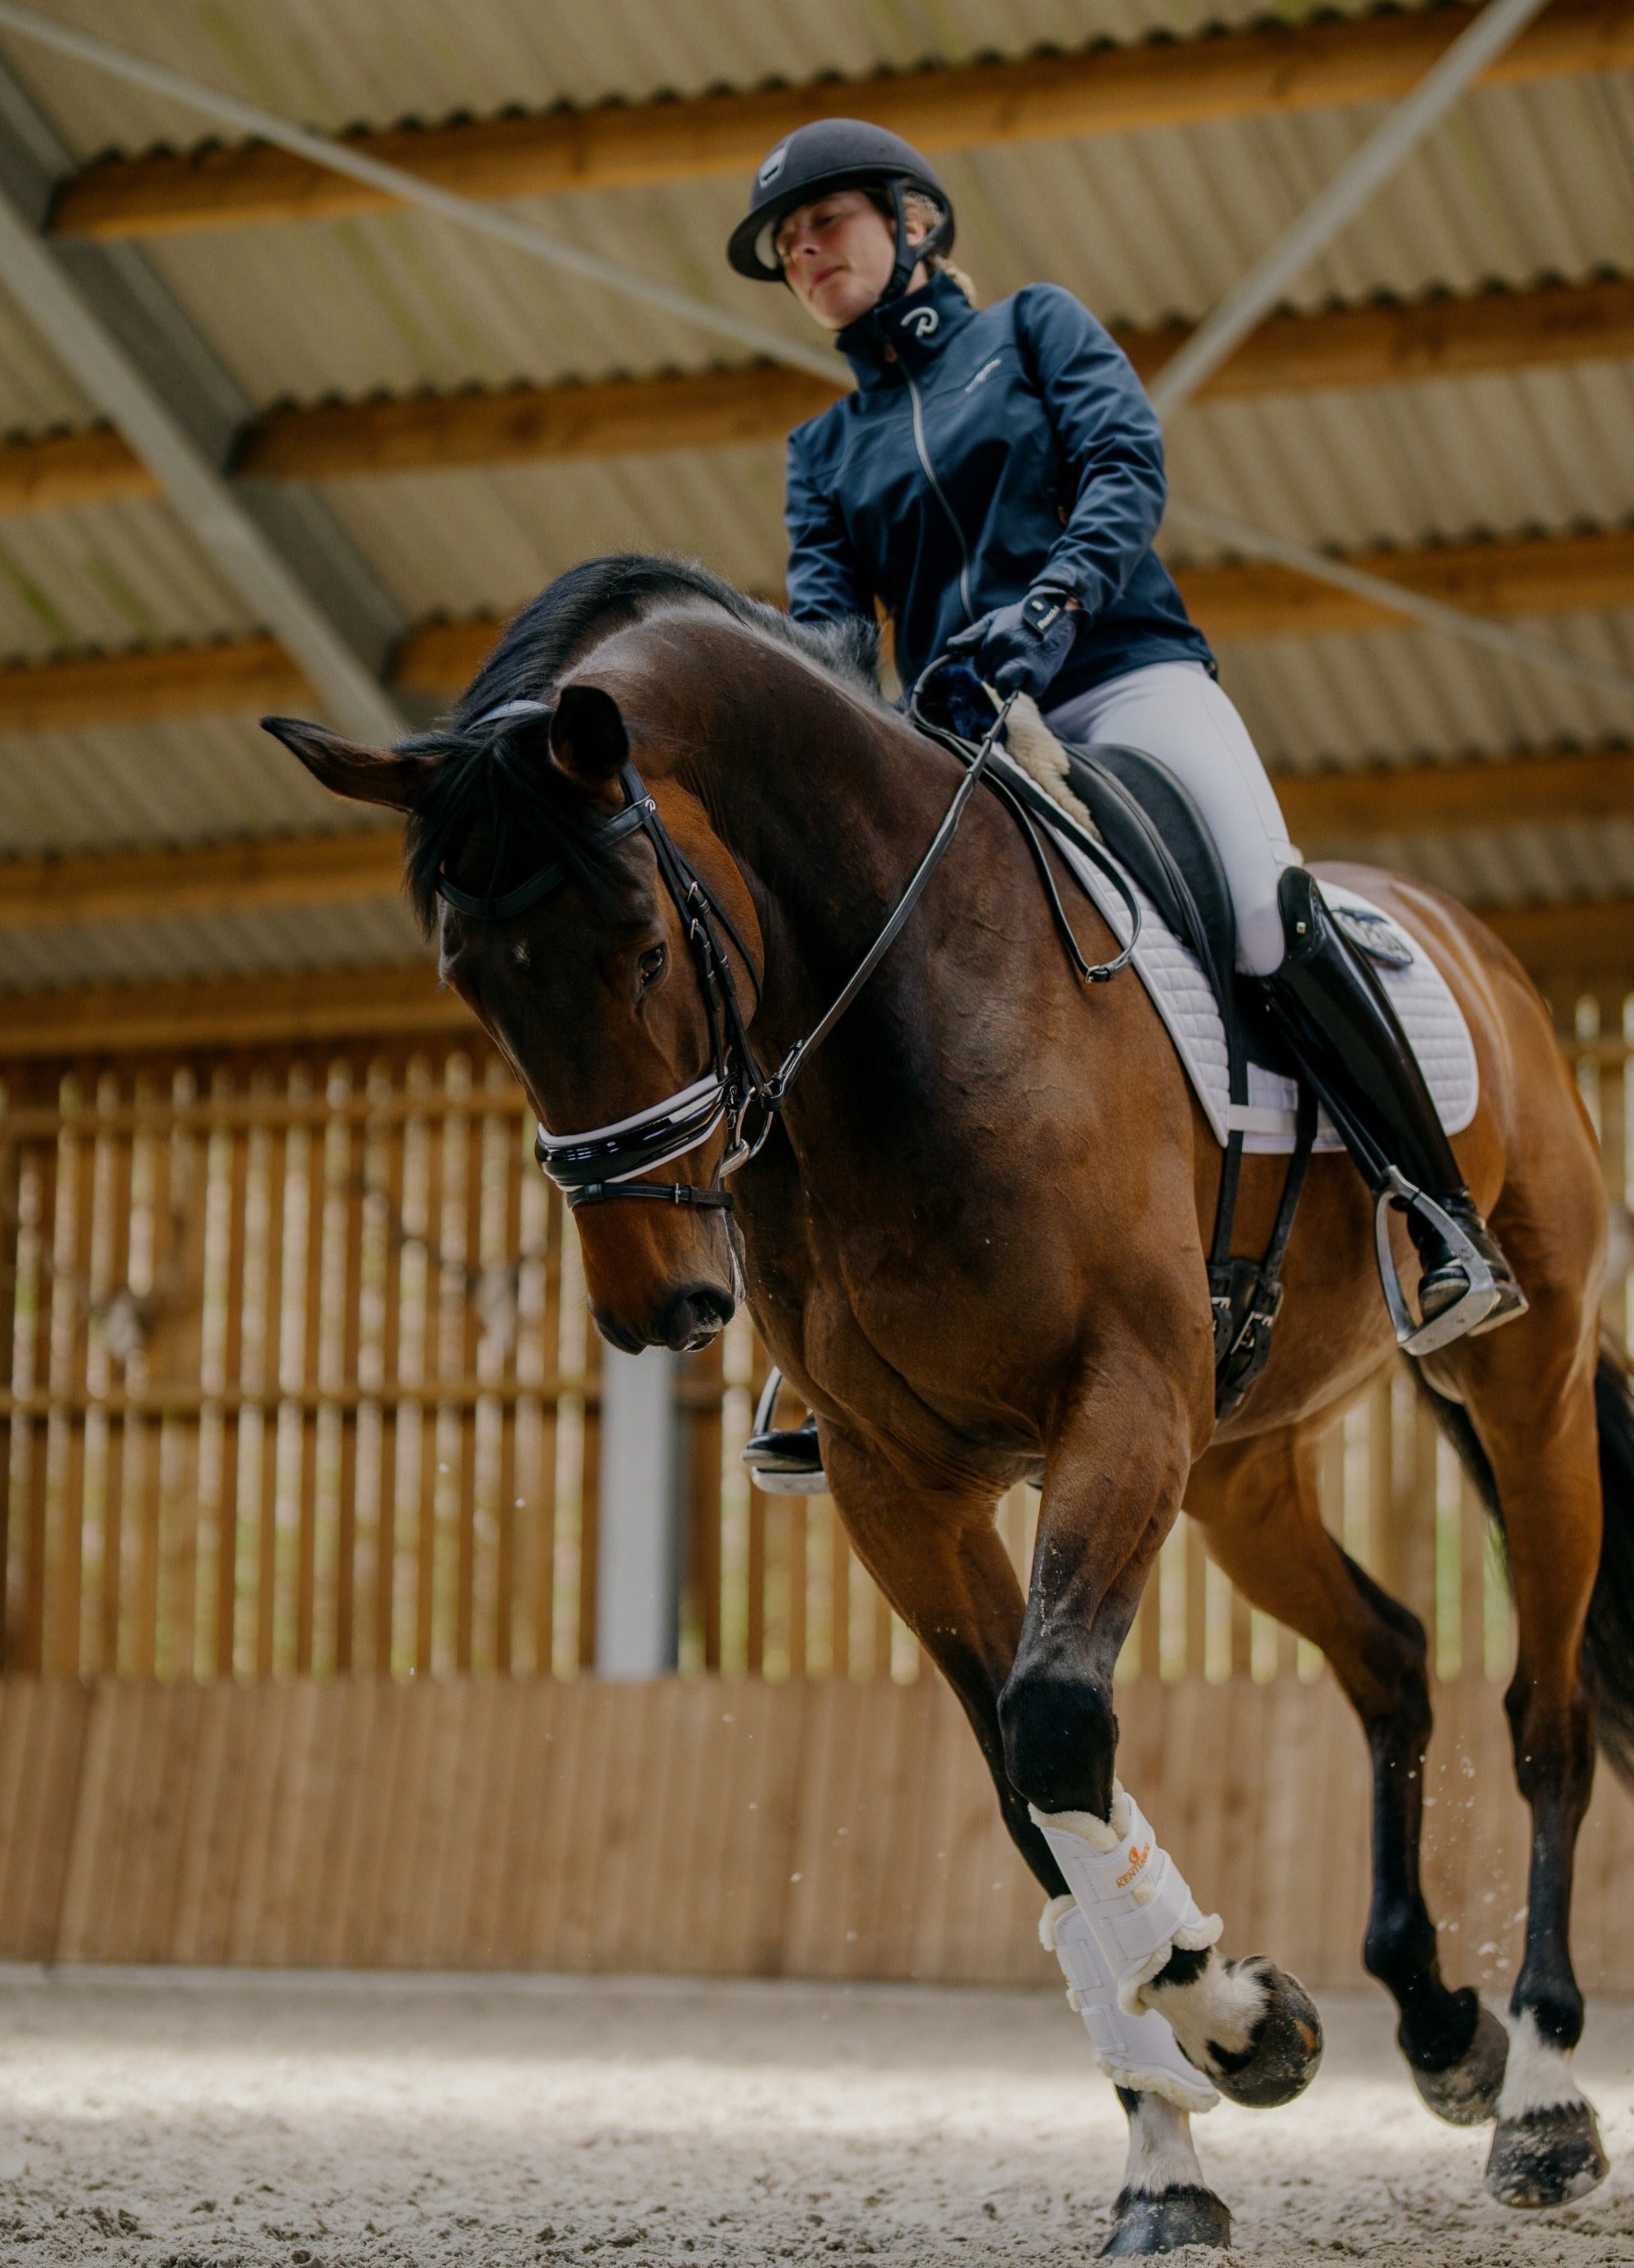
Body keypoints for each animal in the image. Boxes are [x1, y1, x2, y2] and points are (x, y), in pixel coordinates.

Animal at [264, 562, 1633, 2249]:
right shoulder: (897, 1486)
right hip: (1241, 1467)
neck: (899, 1013)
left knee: (1547, 1718)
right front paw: (1176, 2142)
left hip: (1526, 1383)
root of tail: (1469, 944)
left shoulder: (1120, 1407)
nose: (658, 1307)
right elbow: (1029, 1803)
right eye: (471, 978)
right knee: (1388, 1655)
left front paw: (1239, 2020)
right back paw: (1443, 2030)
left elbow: (1054, 1733)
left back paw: (1546, 2099)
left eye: (643, 945)